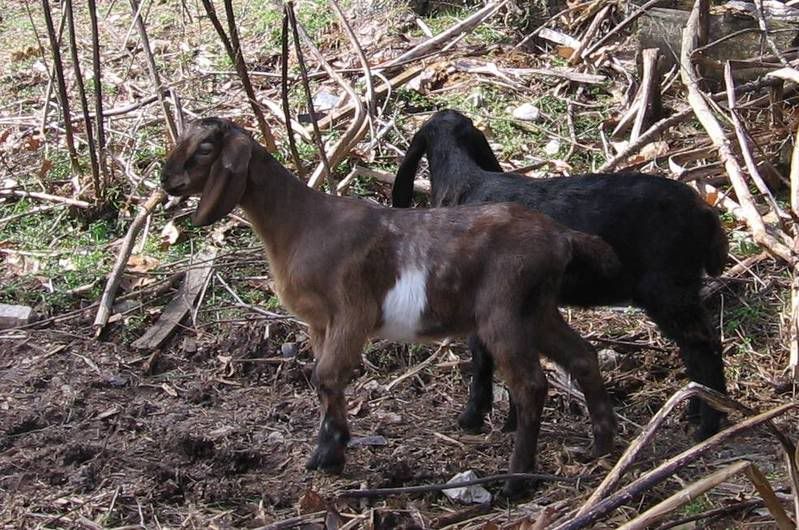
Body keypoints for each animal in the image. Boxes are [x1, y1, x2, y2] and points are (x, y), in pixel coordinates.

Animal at [161, 117, 620, 496]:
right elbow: (324, 381)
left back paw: (516, 481)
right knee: (583, 356)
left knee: (531, 386)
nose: (167, 181)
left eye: (205, 148)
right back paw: (602, 446)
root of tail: (562, 237)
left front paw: (329, 455)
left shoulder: (352, 312)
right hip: (536, 309)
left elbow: (328, 375)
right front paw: (329, 451)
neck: (303, 223)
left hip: (503, 312)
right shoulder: (320, 322)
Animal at [392, 109, 730, 440]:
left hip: (667, 291)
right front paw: (512, 422)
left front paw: (472, 418)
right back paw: (695, 410)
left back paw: (708, 425)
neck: (465, 184)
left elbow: (482, 358)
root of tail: (705, 212)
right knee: (694, 350)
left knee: (704, 346)